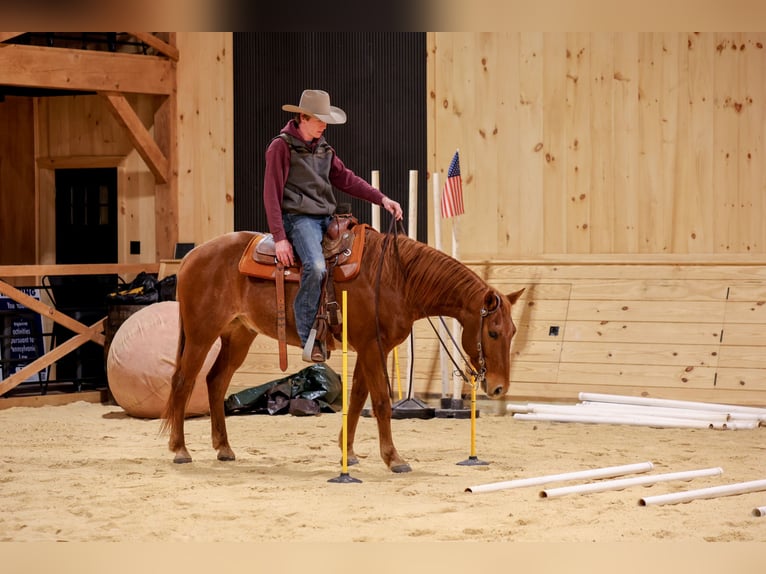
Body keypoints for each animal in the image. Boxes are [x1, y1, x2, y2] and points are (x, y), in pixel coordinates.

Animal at [161, 225, 524, 473]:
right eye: (493, 333)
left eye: (512, 332)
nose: (498, 387)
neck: (395, 278)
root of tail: (192, 256)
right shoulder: (373, 347)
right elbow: (380, 403)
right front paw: (394, 458)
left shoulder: (369, 349)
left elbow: (358, 399)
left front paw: (347, 453)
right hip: (200, 335)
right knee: (182, 382)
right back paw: (179, 450)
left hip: (238, 335)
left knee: (215, 381)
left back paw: (224, 448)